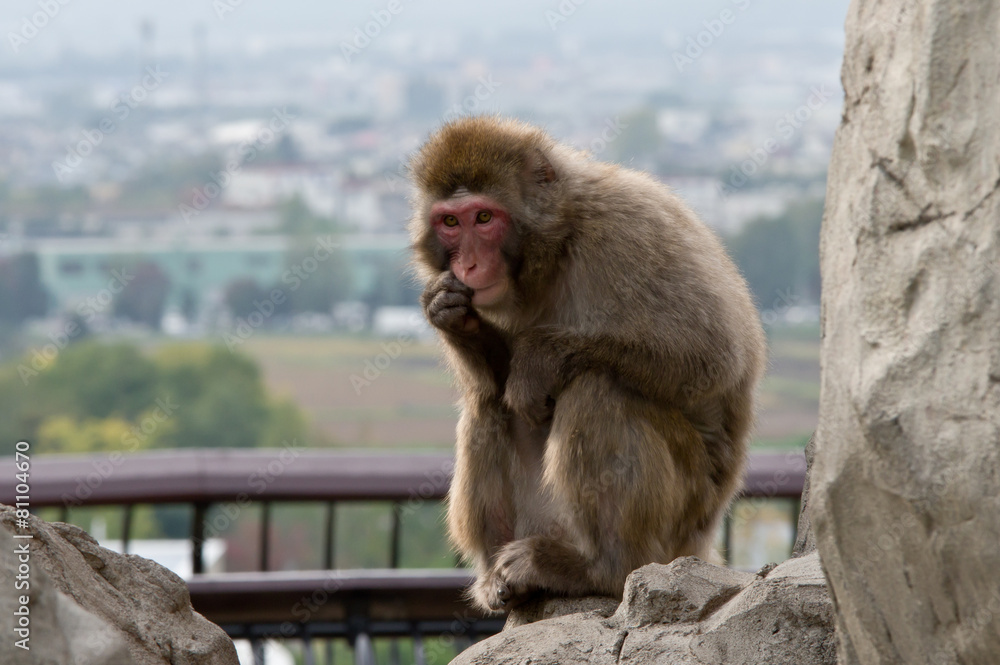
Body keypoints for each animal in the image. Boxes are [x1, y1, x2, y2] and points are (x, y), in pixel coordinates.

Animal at [408, 116, 766, 613]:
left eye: (483, 218)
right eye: (449, 222)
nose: (470, 265)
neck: (559, 242)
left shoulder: (630, 227)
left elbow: (713, 354)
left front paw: (538, 360)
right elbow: (496, 384)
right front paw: (454, 319)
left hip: (682, 515)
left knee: (599, 388)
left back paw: (601, 568)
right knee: (487, 403)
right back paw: (496, 578)